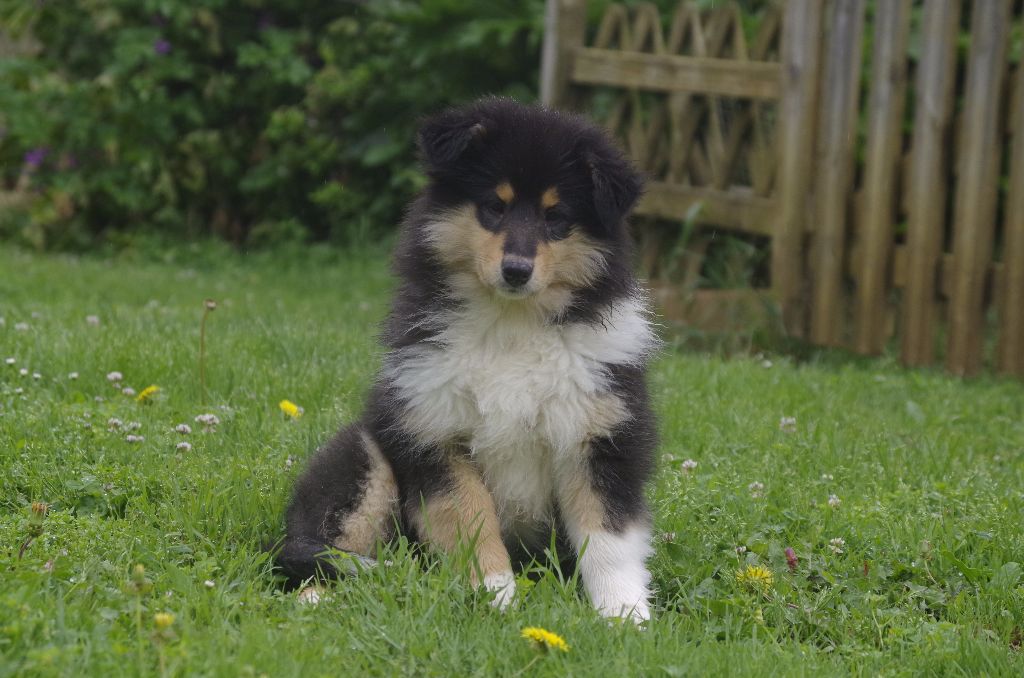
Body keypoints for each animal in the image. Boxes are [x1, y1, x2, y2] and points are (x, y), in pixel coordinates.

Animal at [276, 98, 655, 622]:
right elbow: (471, 521)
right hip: (364, 452)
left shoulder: (600, 434)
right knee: (314, 547)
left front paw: (625, 614)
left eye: (556, 216)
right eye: (494, 206)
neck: (512, 325)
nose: (516, 271)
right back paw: (319, 598)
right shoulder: (434, 431)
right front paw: (497, 597)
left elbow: (608, 538)